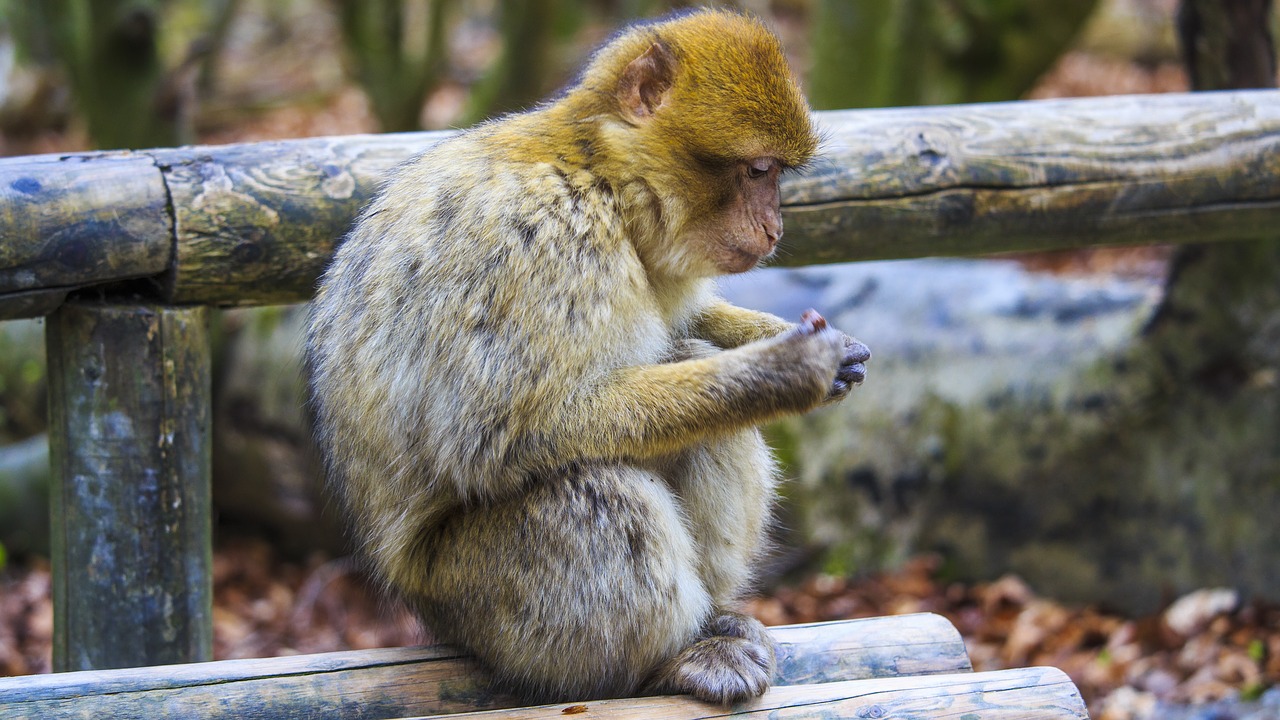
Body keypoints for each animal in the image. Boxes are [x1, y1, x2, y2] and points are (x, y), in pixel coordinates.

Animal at [305, 8, 875, 702]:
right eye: (758, 171)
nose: (775, 229)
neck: (601, 179)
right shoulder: (539, 242)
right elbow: (502, 436)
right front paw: (777, 373)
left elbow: (685, 319)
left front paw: (805, 343)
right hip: (477, 599)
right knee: (591, 485)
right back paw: (668, 659)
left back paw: (713, 621)